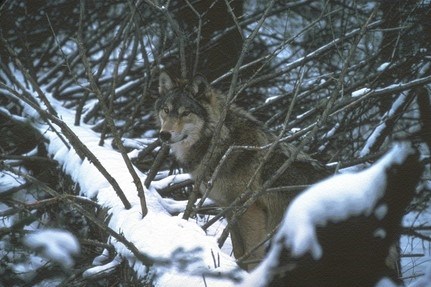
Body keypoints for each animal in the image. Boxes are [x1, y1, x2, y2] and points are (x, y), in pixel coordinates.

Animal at [155, 71, 328, 270]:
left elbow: (251, 255)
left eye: (186, 112)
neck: (223, 142)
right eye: (166, 110)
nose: (164, 134)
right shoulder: (228, 209)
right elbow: (238, 252)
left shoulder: (249, 209)